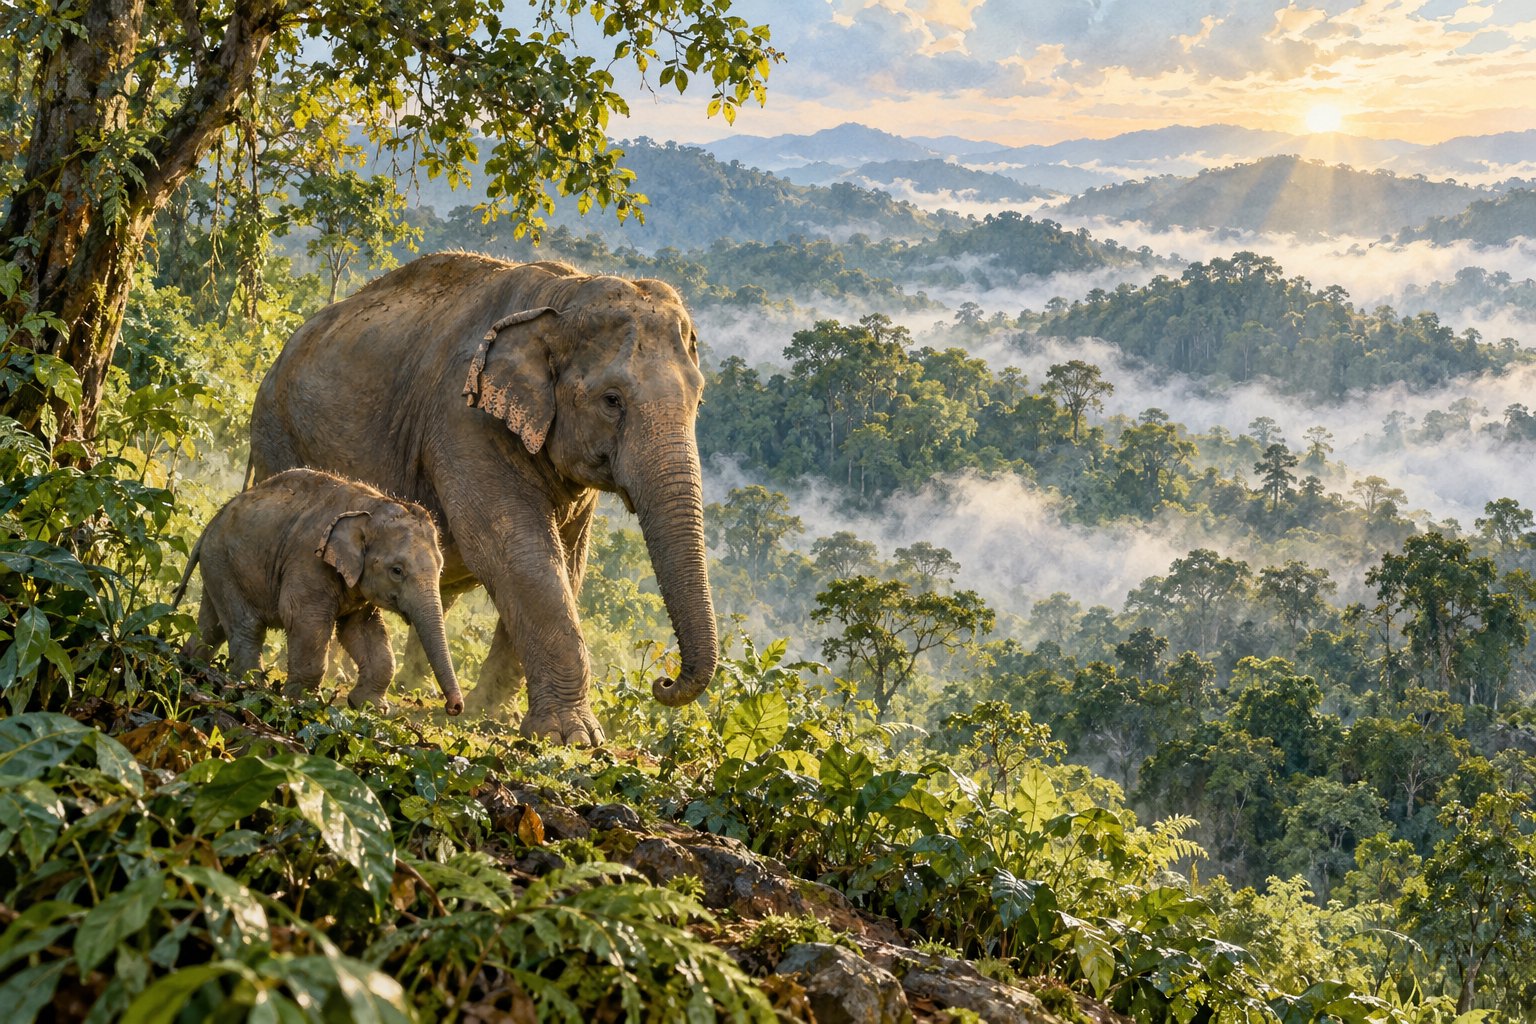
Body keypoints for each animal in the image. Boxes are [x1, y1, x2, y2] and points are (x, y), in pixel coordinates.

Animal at [173, 467, 464, 715]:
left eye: (440, 569)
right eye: (397, 571)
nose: (454, 707)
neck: (372, 506)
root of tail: (214, 519)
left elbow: (361, 631)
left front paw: (371, 708)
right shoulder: (308, 561)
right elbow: (303, 618)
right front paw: (303, 702)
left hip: (218, 565)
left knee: (212, 628)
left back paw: (189, 666)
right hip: (225, 561)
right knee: (247, 626)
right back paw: (254, 688)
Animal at [246, 252, 717, 744]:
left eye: (699, 401)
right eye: (612, 400)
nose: (663, 682)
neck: (563, 297)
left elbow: (567, 561)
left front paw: (492, 714)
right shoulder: (463, 419)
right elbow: (516, 550)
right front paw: (572, 737)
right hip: (277, 432)